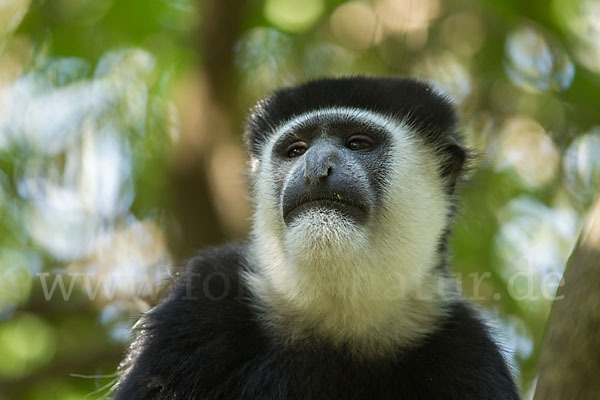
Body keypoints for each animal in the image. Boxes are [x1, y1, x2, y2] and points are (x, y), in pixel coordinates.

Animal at [112, 76, 520, 400]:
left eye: (358, 143)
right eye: (297, 150)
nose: (316, 168)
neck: (337, 318)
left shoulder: (468, 352)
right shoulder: (197, 308)